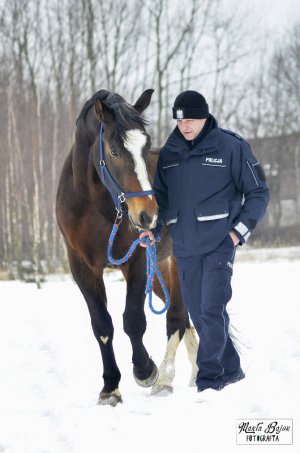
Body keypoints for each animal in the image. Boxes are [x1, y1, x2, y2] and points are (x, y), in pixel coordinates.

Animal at [56, 89, 198, 406]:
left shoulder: (138, 260)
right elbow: (102, 325)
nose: (148, 215)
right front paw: (110, 388)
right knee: (186, 321)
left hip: (176, 264)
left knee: (177, 317)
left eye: (146, 147)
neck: (95, 205)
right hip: (161, 271)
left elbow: (133, 320)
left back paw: (166, 379)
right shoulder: (82, 267)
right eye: (114, 151)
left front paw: (145, 370)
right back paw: (194, 375)